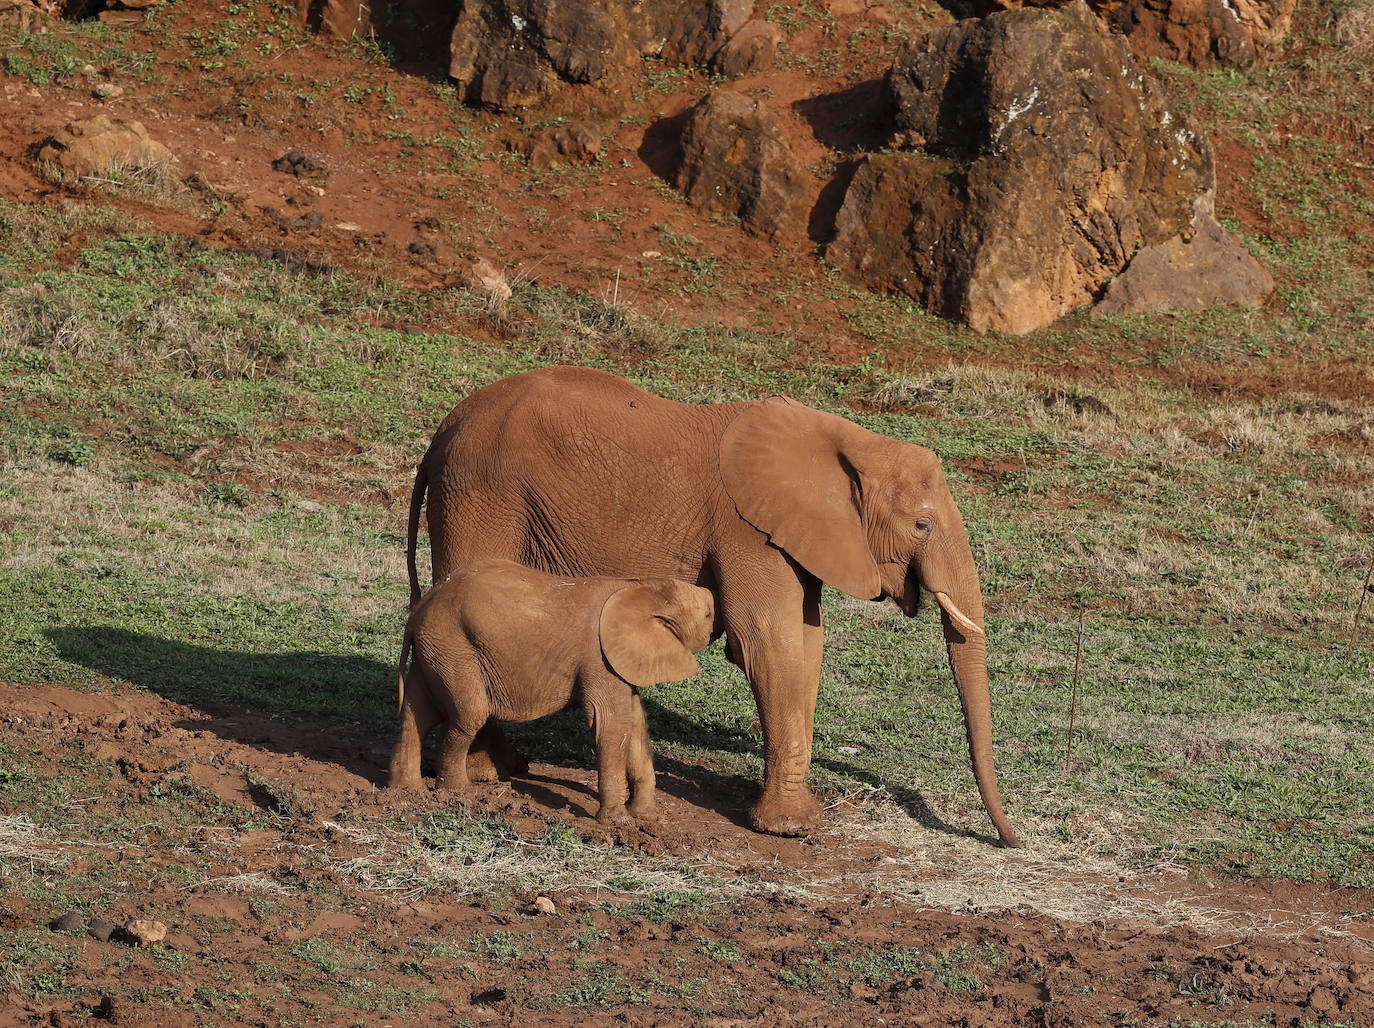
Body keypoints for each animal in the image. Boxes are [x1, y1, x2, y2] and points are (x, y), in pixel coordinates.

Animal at [384, 557, 714, 824]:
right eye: (709, 615)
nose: (714, 624)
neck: (641, 588)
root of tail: (419, 609)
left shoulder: (619, 661)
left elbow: (634, 723)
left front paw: (646, 817)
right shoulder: (599, 658)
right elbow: (610, 724)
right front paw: (617, 823)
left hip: (436, 649)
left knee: (418, 714)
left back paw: (406, 791)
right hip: (454, 648)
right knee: (468, 716)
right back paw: (458, 793)